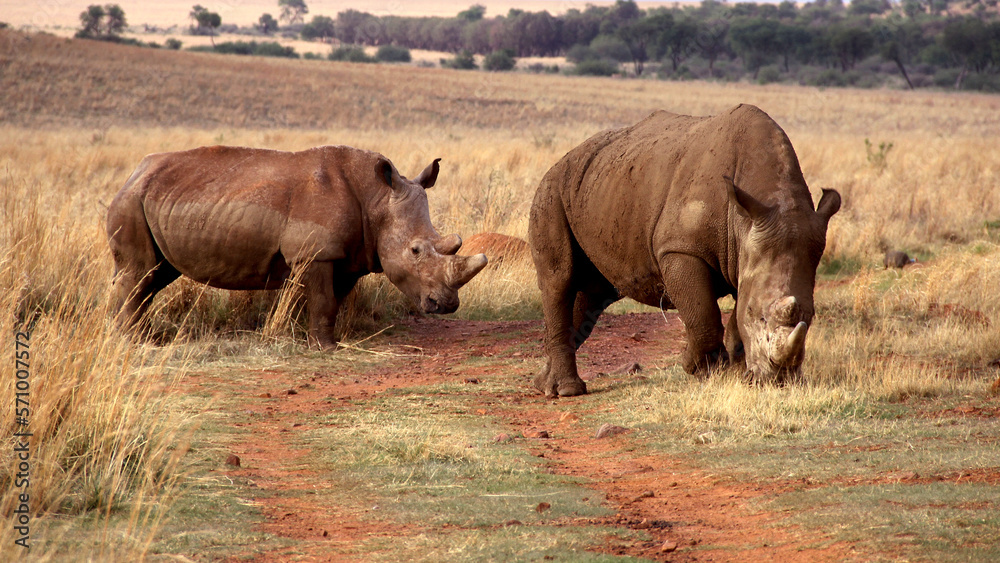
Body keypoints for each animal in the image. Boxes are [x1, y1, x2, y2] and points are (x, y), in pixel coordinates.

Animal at [107, 144, 487, 347]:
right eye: (415, 251)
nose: (447, 306)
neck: (377, 199)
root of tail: (133, 174)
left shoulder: (346, 256)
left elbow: (333, 301)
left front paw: (323, 338)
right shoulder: (314, 254)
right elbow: (323, 300)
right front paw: (325, 347)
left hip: (154, 200)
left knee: (156, 275)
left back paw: (141, 336)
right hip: (131, 202)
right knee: (140, 273)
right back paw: (132, 340)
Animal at [529, 105, 841, 397]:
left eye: (812, 316)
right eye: (757, 314)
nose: (779, 381)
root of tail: (561, 160)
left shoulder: (747, 252)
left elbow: (732, 320)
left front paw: (736, 374)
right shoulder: (681, 249)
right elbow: (702, 315)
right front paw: (704, 370)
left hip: (599, 189)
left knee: (592, 293)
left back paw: (544, 384)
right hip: (551, 191)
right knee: (560, 280)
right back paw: (566, 390)